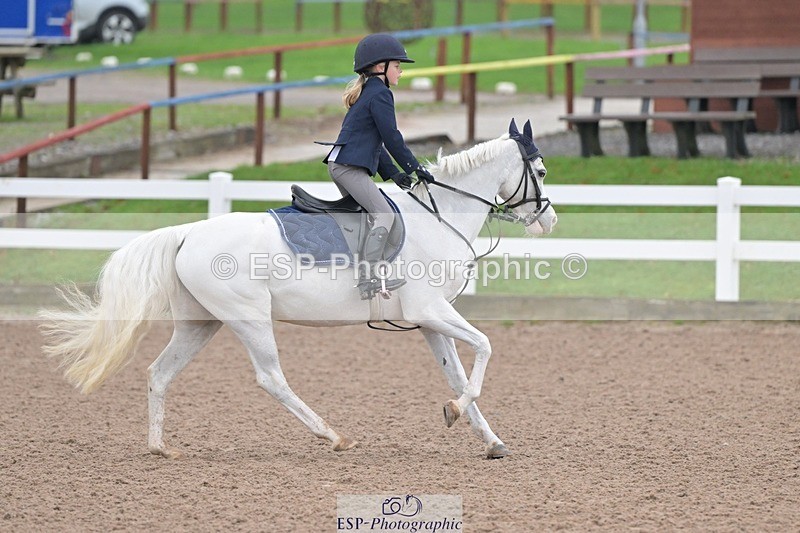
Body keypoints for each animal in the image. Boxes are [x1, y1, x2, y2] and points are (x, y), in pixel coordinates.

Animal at [39, 118, 557, 460]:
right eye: (541, 172)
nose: (549, 220)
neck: (438, 217)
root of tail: (187, 233)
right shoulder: (430, 311)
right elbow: (485, 348)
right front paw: (456, 413)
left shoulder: (429, 322)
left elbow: (458, 375)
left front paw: (488, 438)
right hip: (249, 318)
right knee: (271, 378)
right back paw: (334, 436)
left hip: (200, 324)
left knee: (159, 373)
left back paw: (159, 447)